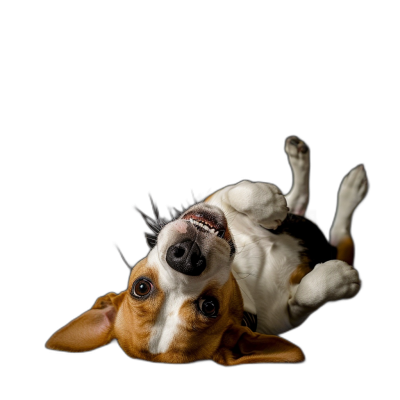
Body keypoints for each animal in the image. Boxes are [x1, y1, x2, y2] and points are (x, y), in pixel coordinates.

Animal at [45, 137, 368, 366]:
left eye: (141, 287)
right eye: (209, 306)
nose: (186, 257)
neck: (244, 273)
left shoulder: (216, 198)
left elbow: (240, 192)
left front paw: (270, 203)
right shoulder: (292, 317)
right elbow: (305, 296)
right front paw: (338, 280)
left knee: (297, 199)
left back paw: (299, 165)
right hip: (341, 244)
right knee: (341, 233)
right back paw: (351, 191)